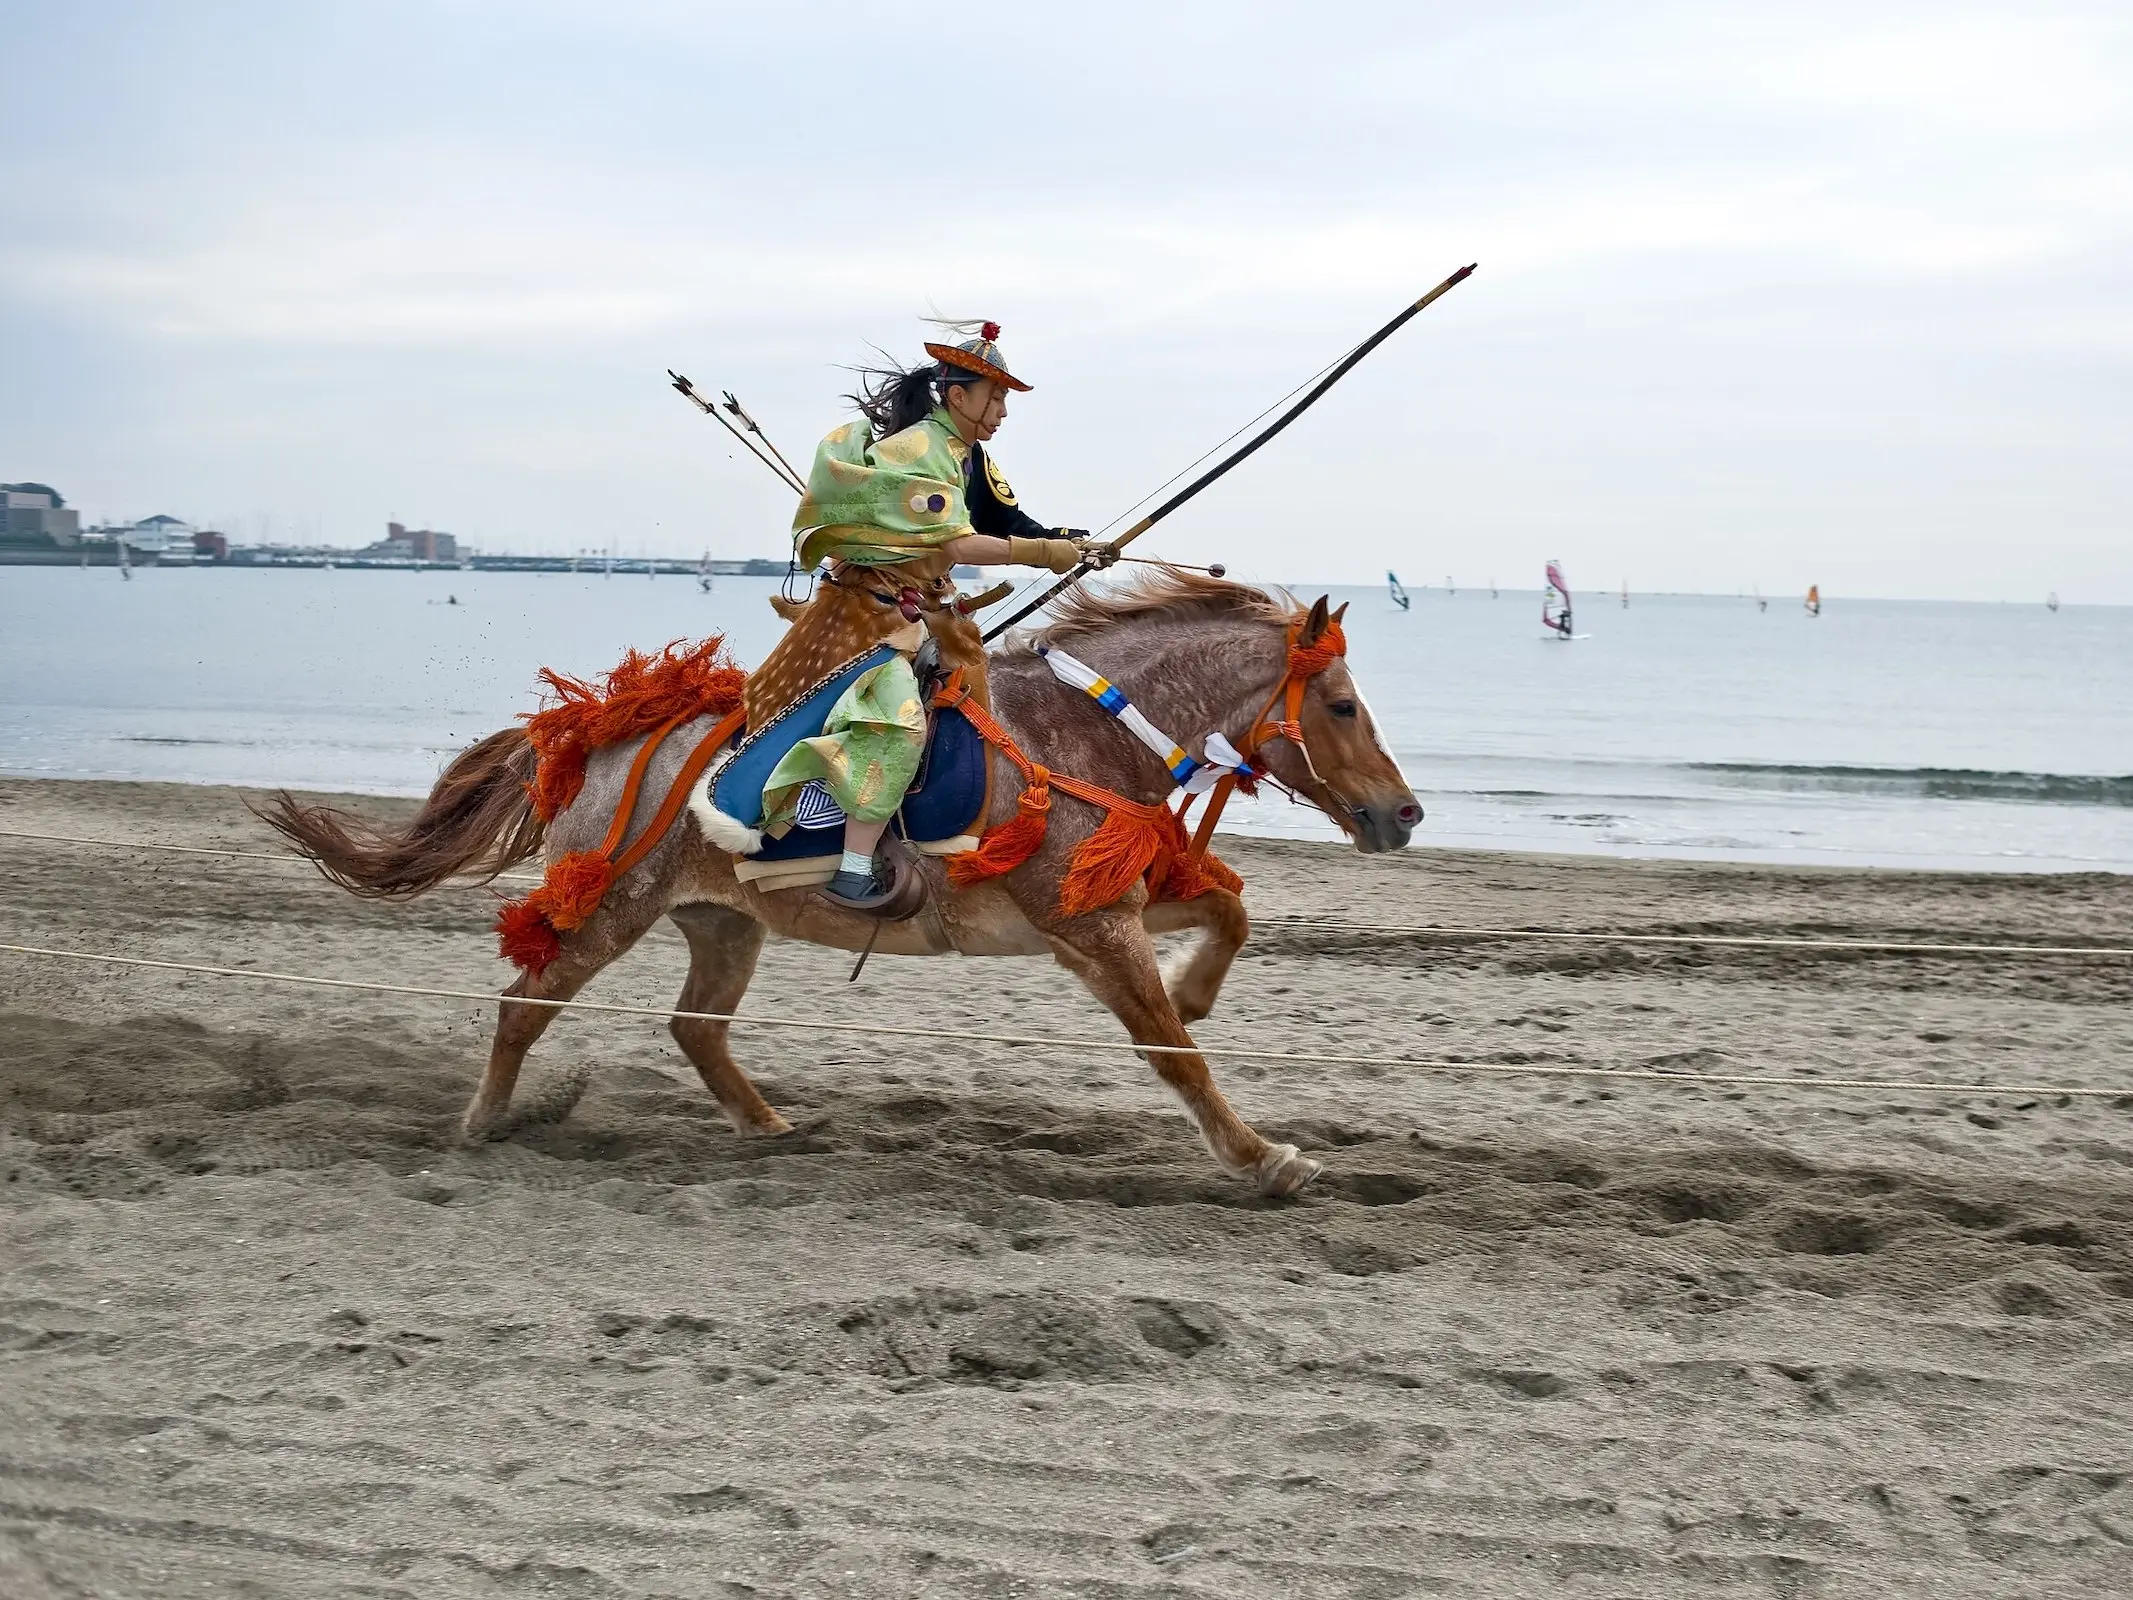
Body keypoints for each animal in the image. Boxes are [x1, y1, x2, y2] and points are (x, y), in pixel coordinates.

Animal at [270, 571, 1433, 1194]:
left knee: (696, 1027)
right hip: (606, 905)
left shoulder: (1108, 903)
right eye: (1340, 704)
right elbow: (1173, 1053)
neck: (1082, 731)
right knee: (524, 1005)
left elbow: (1228, 915)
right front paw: (1261, 1155)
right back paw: (480, 1124)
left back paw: (768, 1126)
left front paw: (1198, 992)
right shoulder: (1097, 928)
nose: (1404, 813)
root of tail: (600, 733)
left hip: (721, 922)